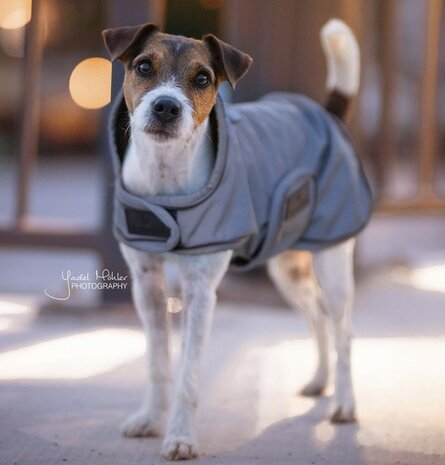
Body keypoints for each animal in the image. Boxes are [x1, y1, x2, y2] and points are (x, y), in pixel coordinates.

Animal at [103, 19, 364, 460]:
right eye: (143, 67)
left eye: (202, 78)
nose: (166, 107)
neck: (166, 183)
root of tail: (326, 115)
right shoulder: (146, 284)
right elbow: (158, 362)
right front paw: (151, 419)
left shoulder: (200, 293)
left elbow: (188, 374)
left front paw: (180, 437)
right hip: (287, 268)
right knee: (318, 316)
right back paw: (319, 381)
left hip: (333, 264)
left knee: (343, 331)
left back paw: (344, 403)